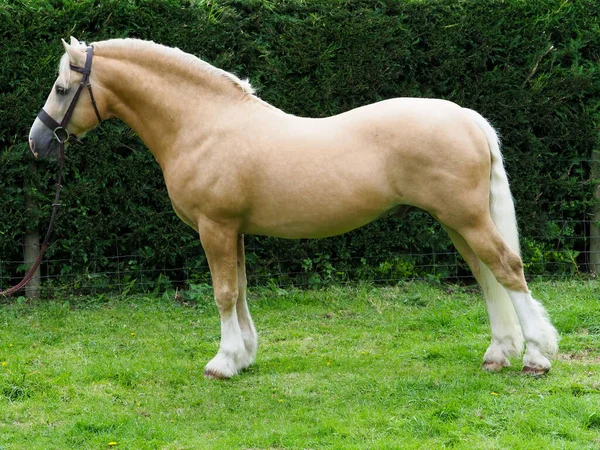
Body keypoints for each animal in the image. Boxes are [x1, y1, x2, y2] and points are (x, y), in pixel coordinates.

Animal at [27, 37, 556, 378]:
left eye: (60, 88)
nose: (37, 142)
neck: (203, 124)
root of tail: (466, 117)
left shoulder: (215, 227)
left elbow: (222, 293)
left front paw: (222, 363)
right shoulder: (233, 230)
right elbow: (239, 289)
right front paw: (243, 356)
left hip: (466, 219)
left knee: (507, 269)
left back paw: (535, 356)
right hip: (457, 224)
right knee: (486, 277)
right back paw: (499, 353)